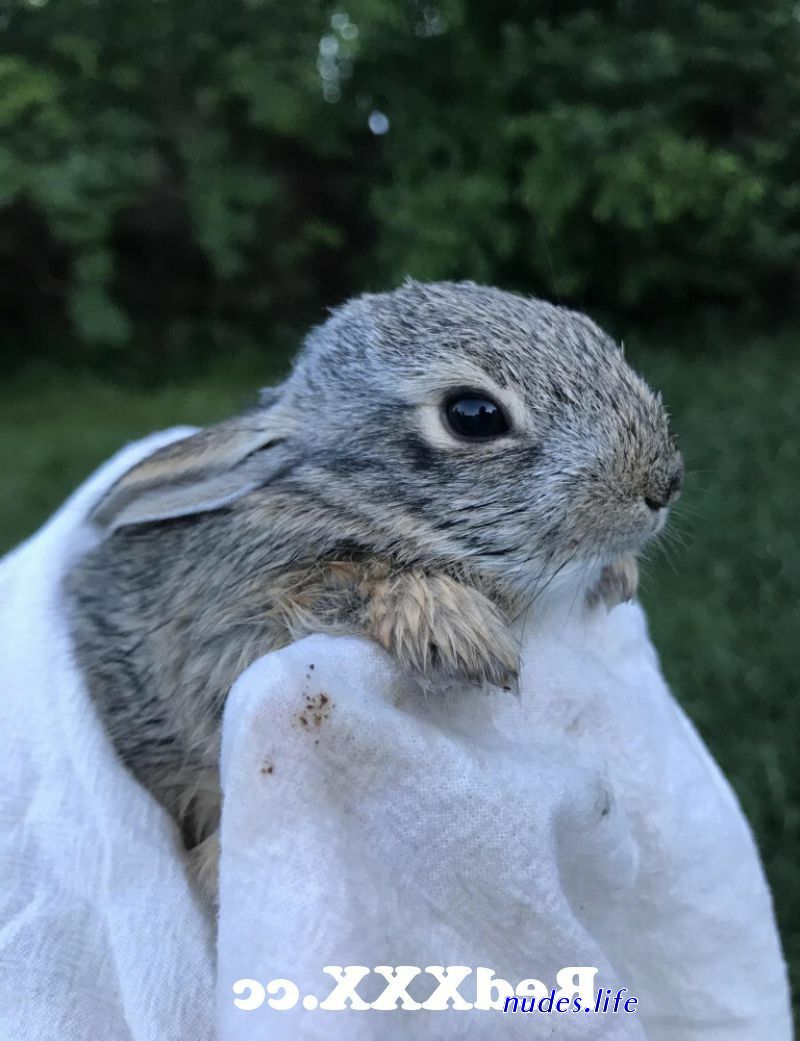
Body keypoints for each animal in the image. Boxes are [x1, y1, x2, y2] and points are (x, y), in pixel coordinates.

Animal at [65, 279, 683, 899]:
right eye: (474, 416)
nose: (663, 485)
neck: (351, 500)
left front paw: (618, 573)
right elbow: (349, 582)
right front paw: (461, 634)